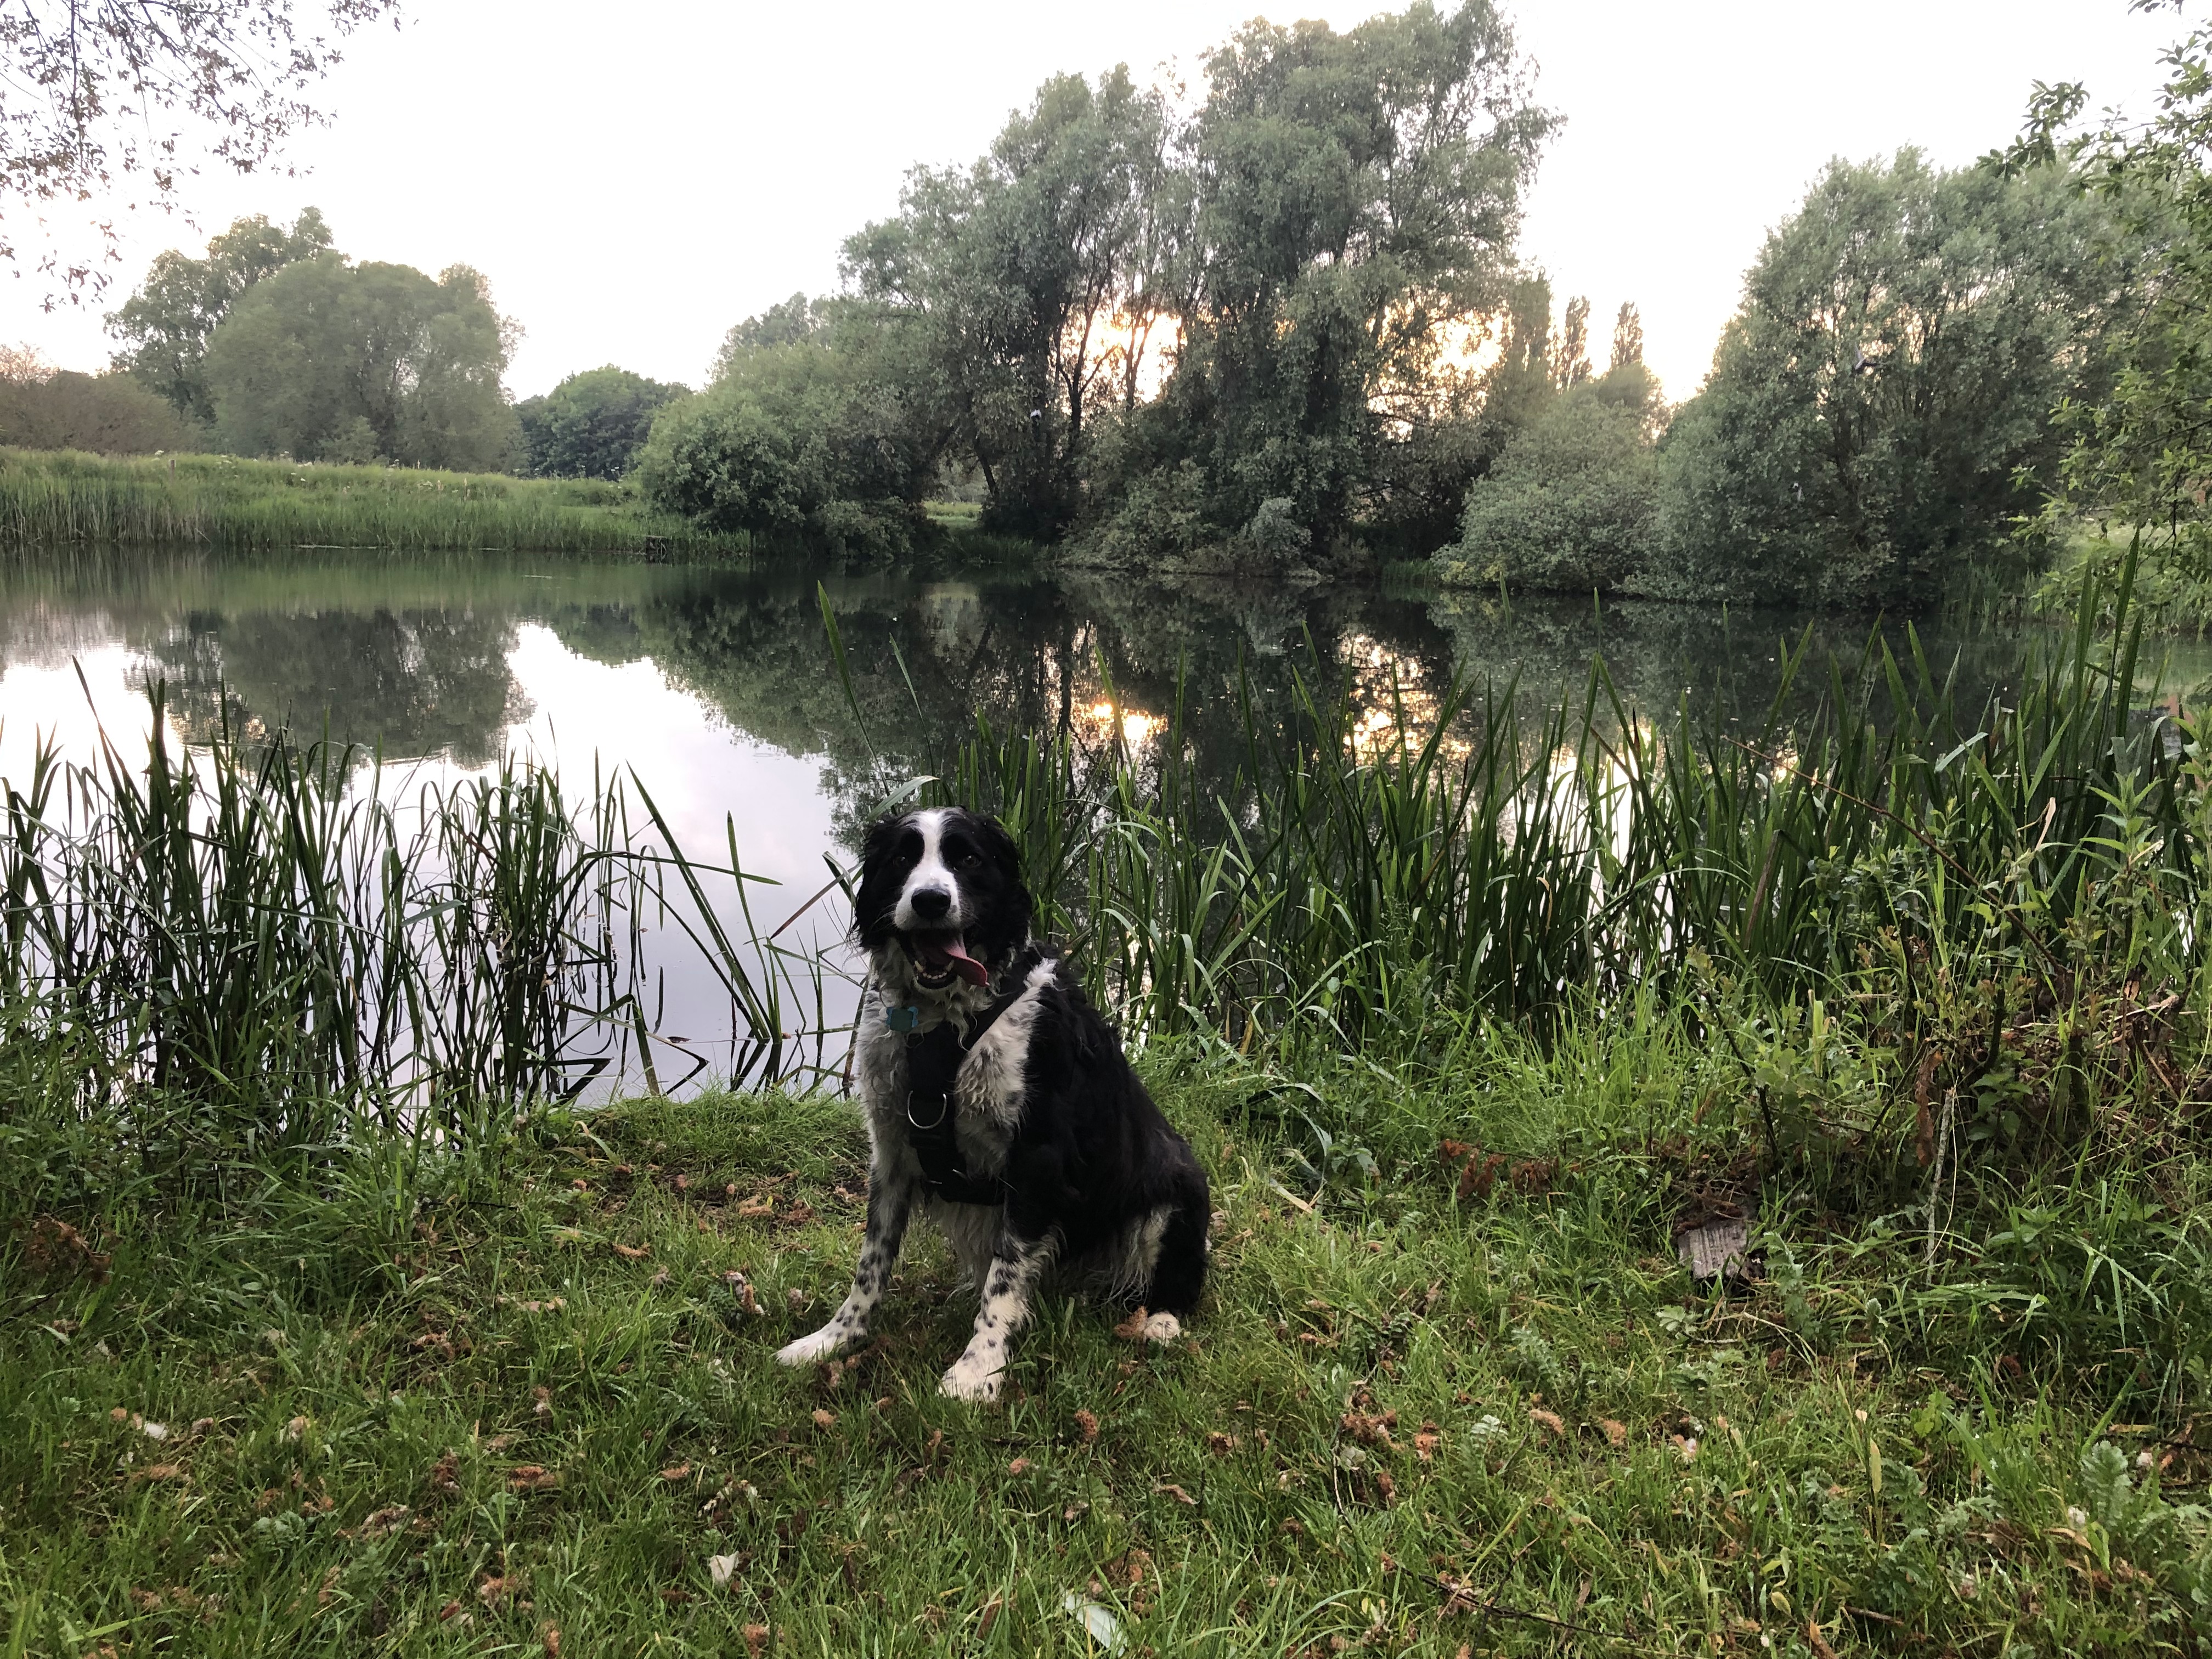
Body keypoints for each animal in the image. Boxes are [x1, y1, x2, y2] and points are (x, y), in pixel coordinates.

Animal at [775, 806, 1210, 1401]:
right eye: (903, 858)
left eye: (969, 860)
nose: (930, 900)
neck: (942, 1022)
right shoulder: (891, 1153)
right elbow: (871, 1263)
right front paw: (835, 1338)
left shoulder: (1037, 1158)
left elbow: (1004, 1282)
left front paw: (977, 1370)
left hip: (1175, 1193)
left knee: (1181, 1278)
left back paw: (1161, 1322)